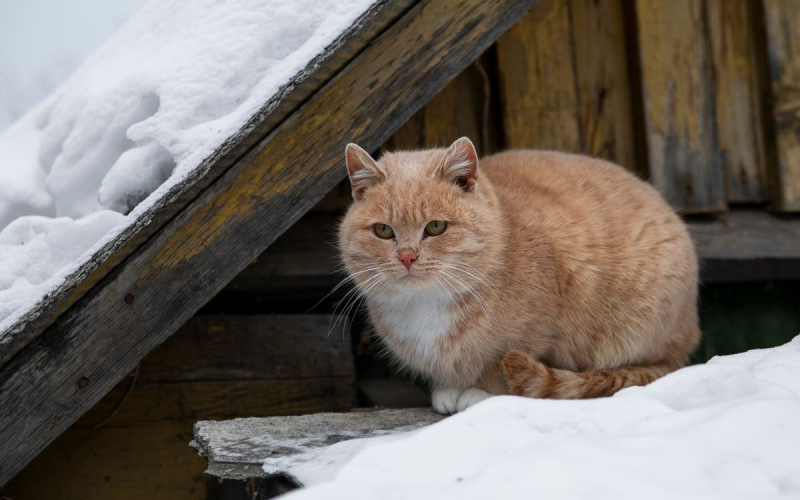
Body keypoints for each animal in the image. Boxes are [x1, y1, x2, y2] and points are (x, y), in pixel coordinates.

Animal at [338, 137, 700, 414]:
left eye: (436, 227)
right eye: (384, 231)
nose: (408, 257)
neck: (427, 303)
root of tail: (690, 327)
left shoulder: (539, 324)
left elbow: (498, 364)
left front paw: (479, 392)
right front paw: (449, 389)